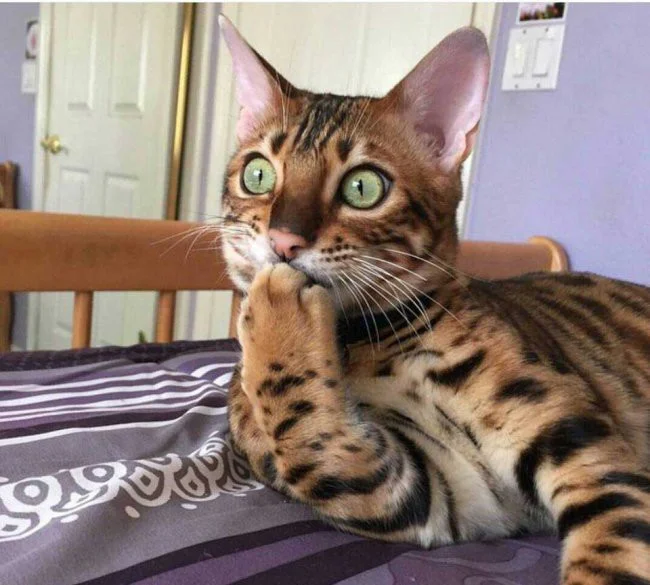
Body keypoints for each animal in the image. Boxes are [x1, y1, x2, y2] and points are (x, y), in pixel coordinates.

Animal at [217, 15, 650, 585]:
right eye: (258, 174)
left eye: (363, 187)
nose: (284, 242)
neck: (361, 343)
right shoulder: (438, 490)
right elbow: (312, 447)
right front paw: (275, 316)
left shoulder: (581, 443)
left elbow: (614, 547)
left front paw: (277, 305)